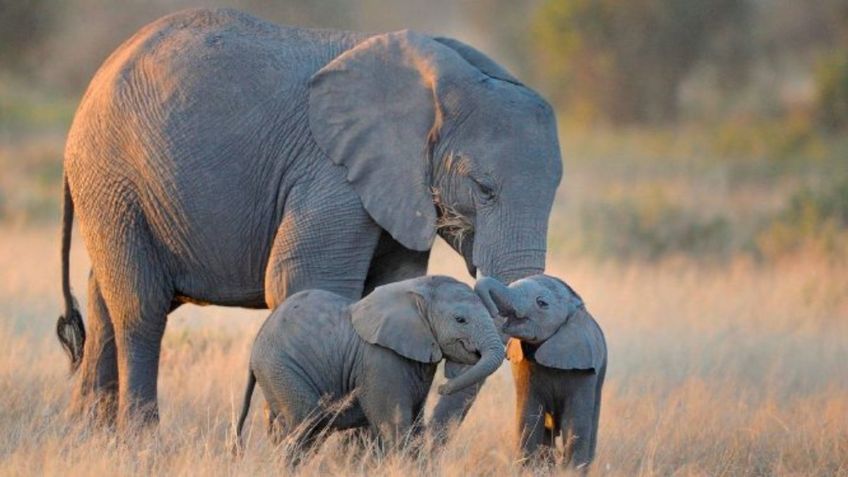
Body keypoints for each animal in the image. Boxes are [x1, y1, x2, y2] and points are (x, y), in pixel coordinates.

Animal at [59, 9, 564, 430]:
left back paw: (87, 436)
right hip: (113, 177)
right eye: (483, 188)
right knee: (140, 308)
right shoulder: (331, 172)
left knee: (104, 298)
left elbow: (390, 286)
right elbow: (302, 280)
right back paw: (140, 441)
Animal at [235, 274, 506, 452]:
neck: (416, 289)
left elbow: (415, 426)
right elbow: (395, 426)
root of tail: (256, 343)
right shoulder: (380, 360)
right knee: (304, 425)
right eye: (460, 320)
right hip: (281, 368)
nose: (443, 387)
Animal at [474, 274, 608, 466]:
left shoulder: (584, 369)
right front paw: (530, 469)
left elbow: (576, 424)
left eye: (542, 303)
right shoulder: (523, 366)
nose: (492, 312)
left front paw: (570, 470)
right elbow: (528, 418)